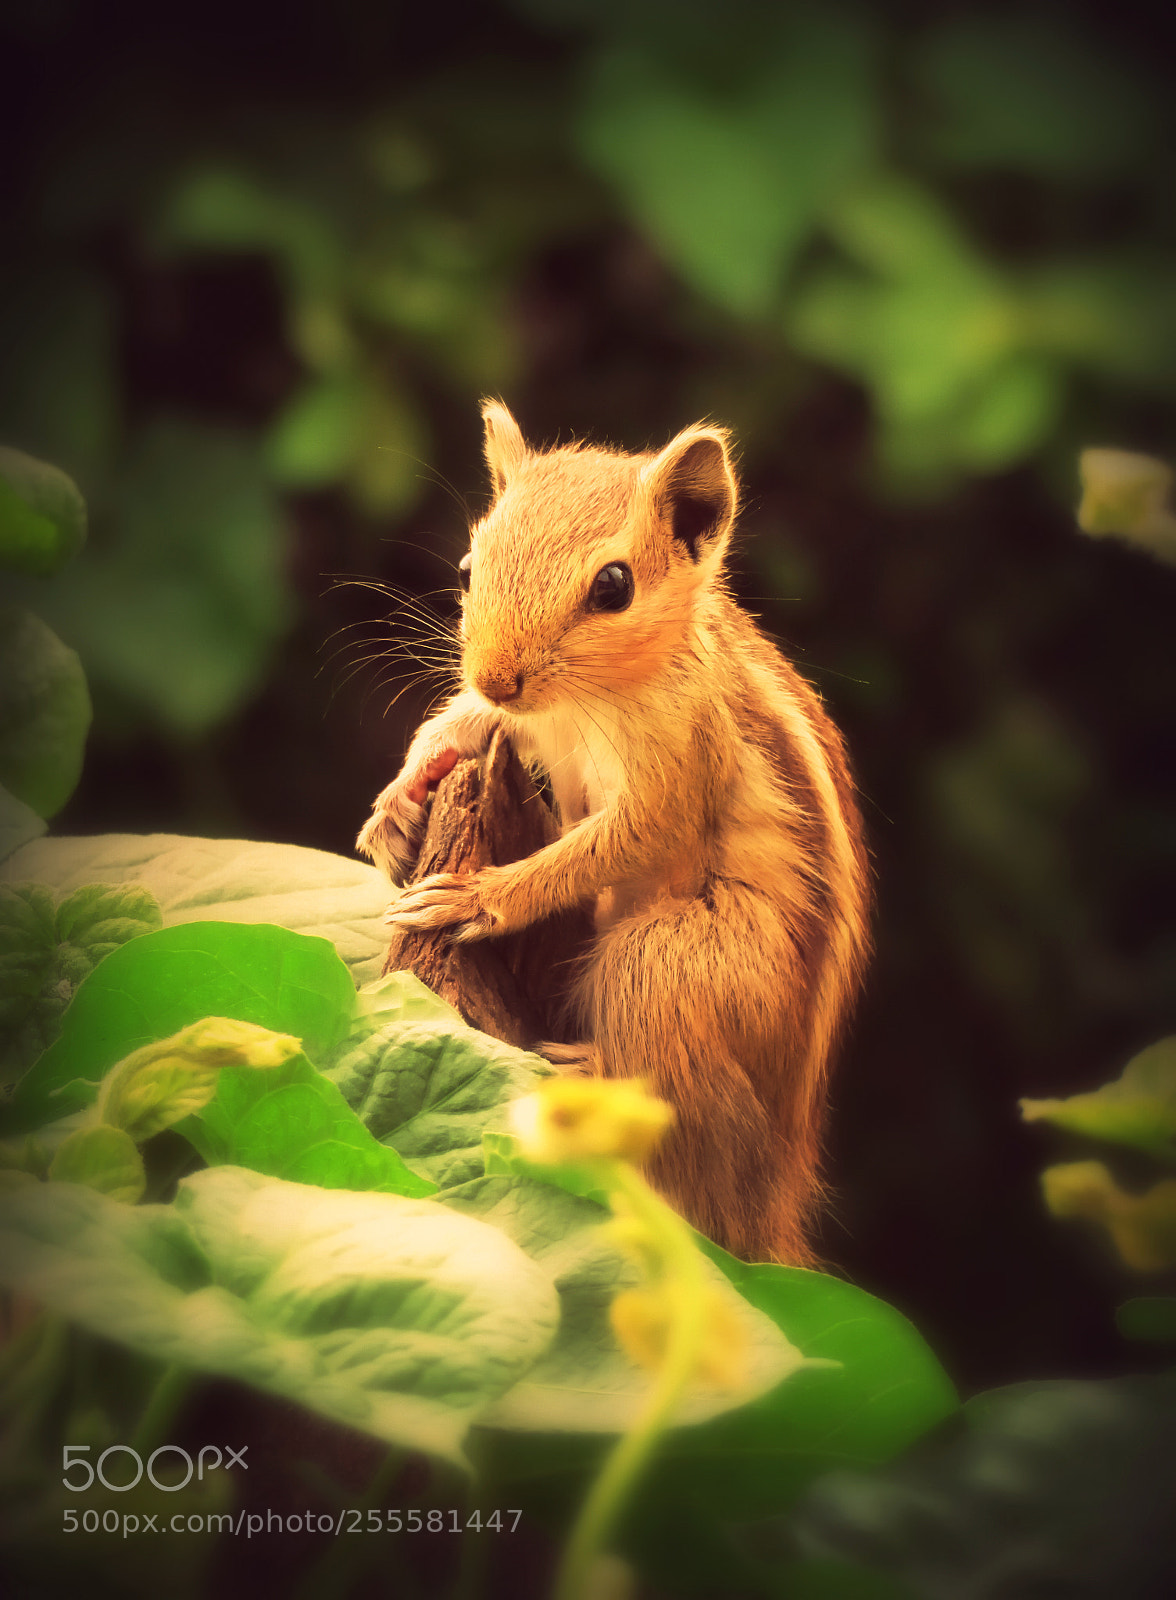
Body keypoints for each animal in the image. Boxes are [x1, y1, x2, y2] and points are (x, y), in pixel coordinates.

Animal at [357, 401, 871, 1265]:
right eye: (466, 567)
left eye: (613, 585)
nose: (498, 674)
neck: (588, 699)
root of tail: (781, 1189)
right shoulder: (525, 720)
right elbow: (466, 723)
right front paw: (398, 803)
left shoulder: (678, 766)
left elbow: (617, 841)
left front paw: (475, 897)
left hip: (675, 963)